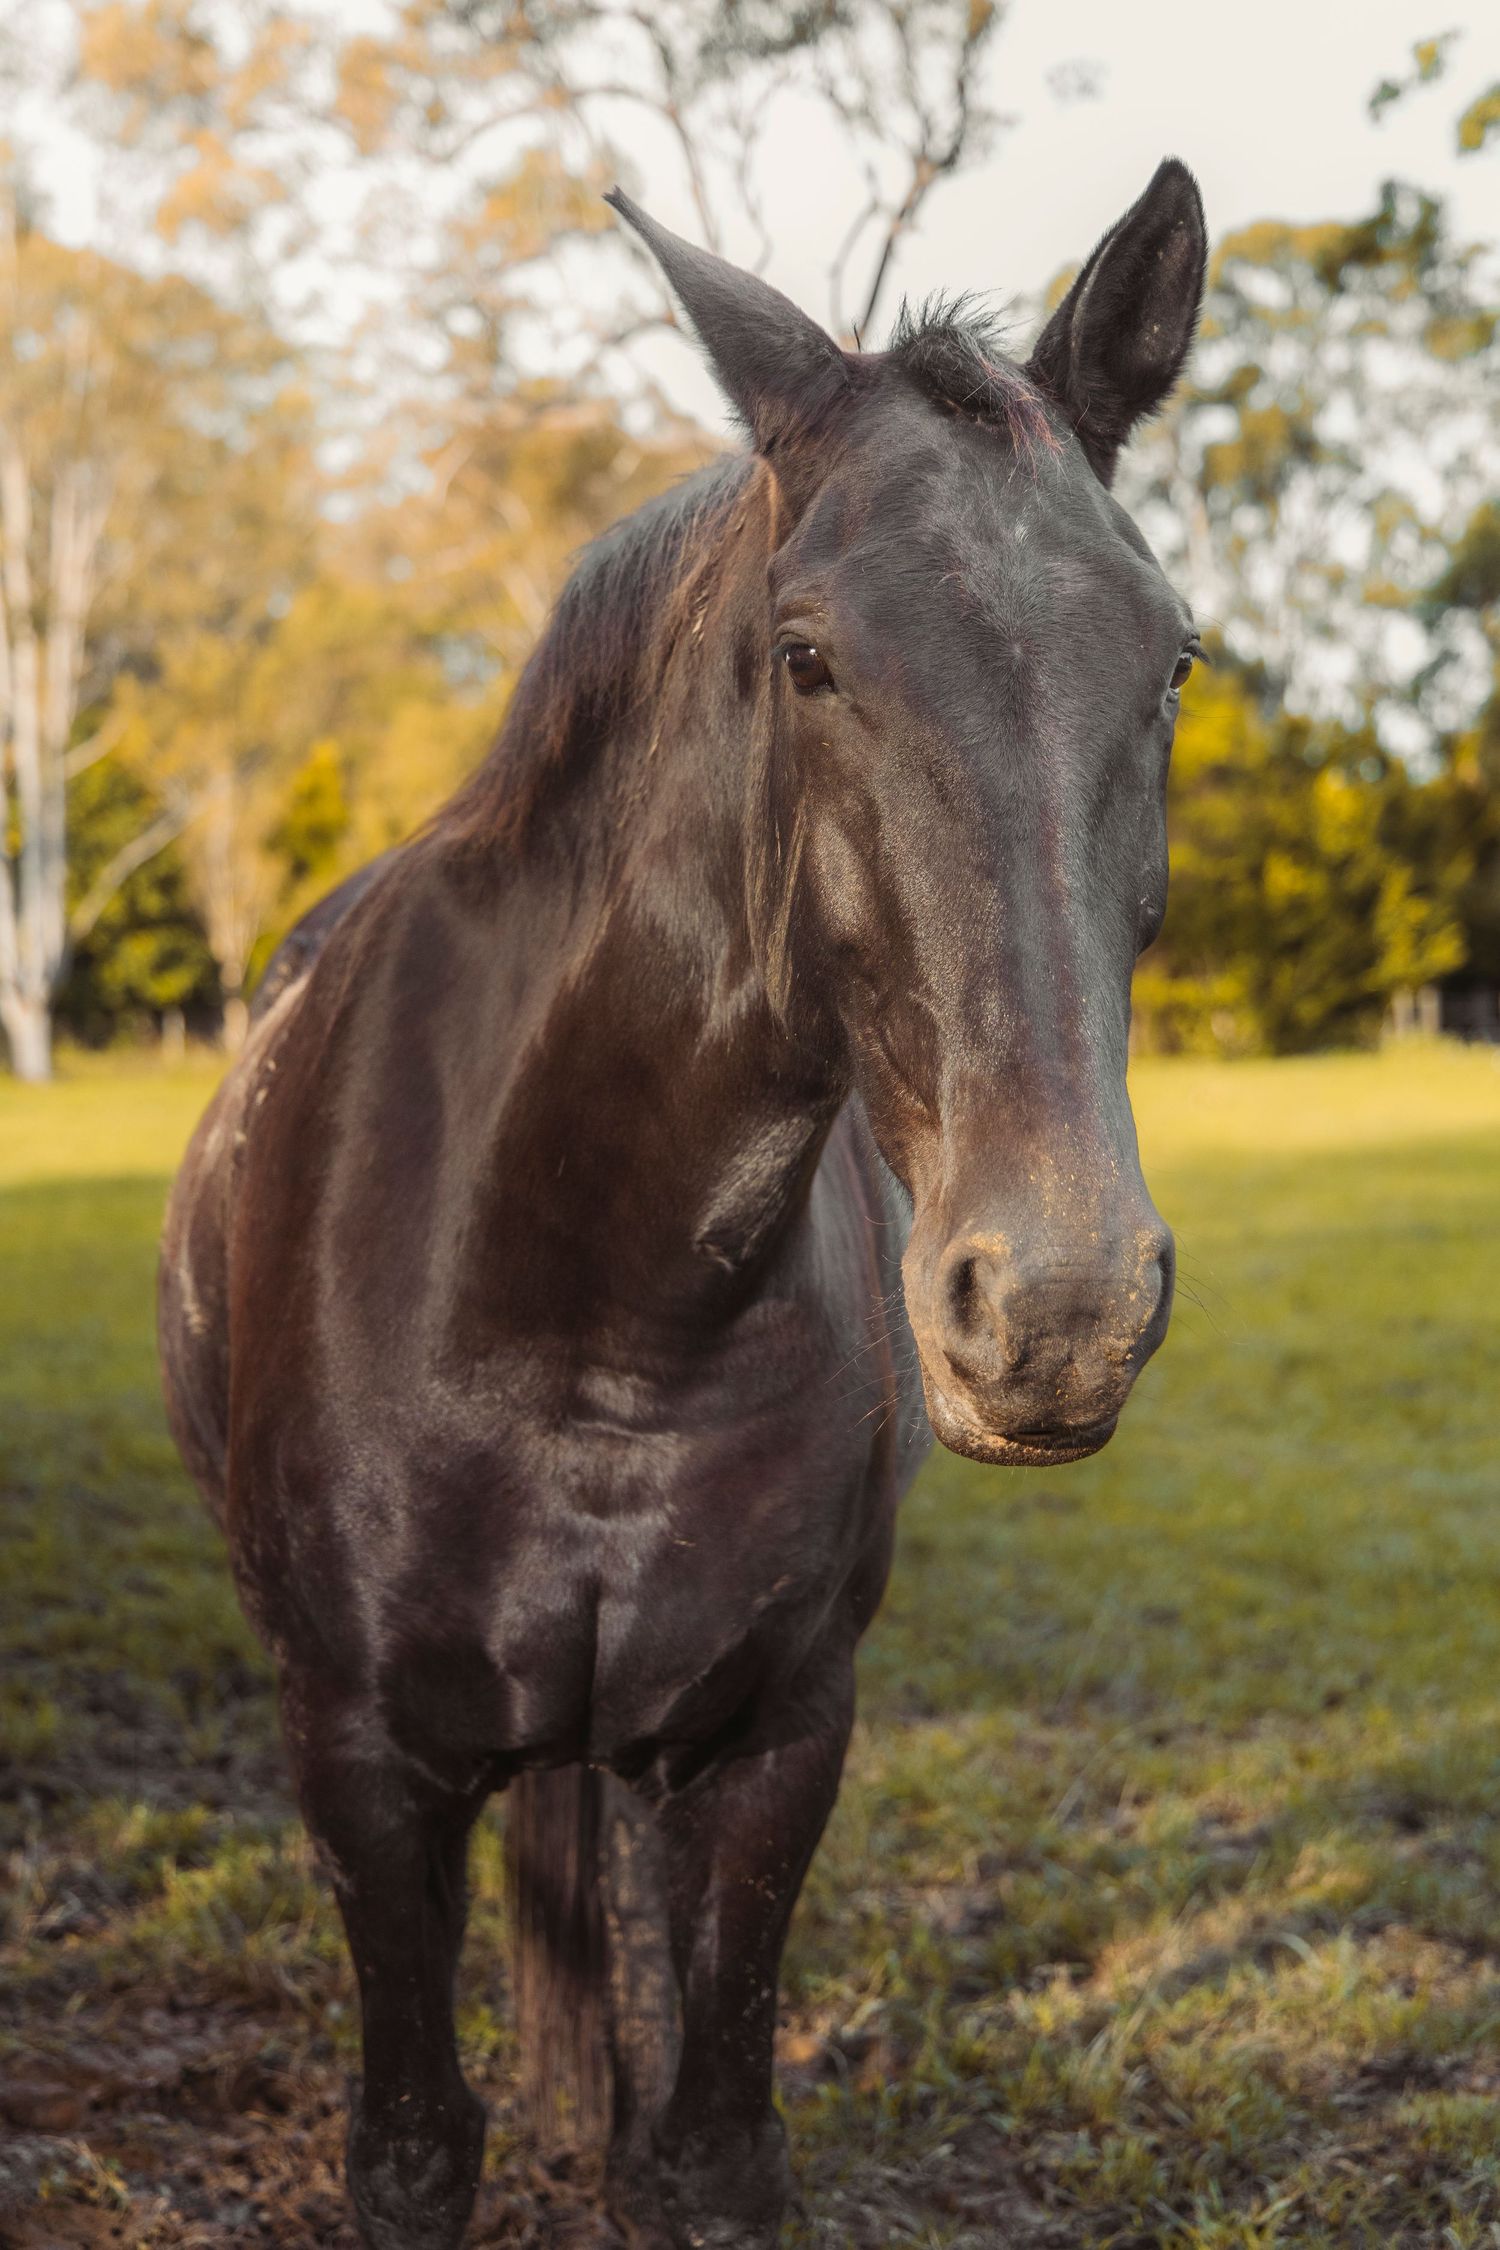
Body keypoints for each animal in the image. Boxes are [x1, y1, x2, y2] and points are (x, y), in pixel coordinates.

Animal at [159, 158, 1207, 2250]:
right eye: (808, 657)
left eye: (1173, 663)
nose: (1057, 1306)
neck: (575, 1299)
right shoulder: (361, 1766)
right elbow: (416, 2145)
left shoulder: (770, 1746)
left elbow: (707, 2142)